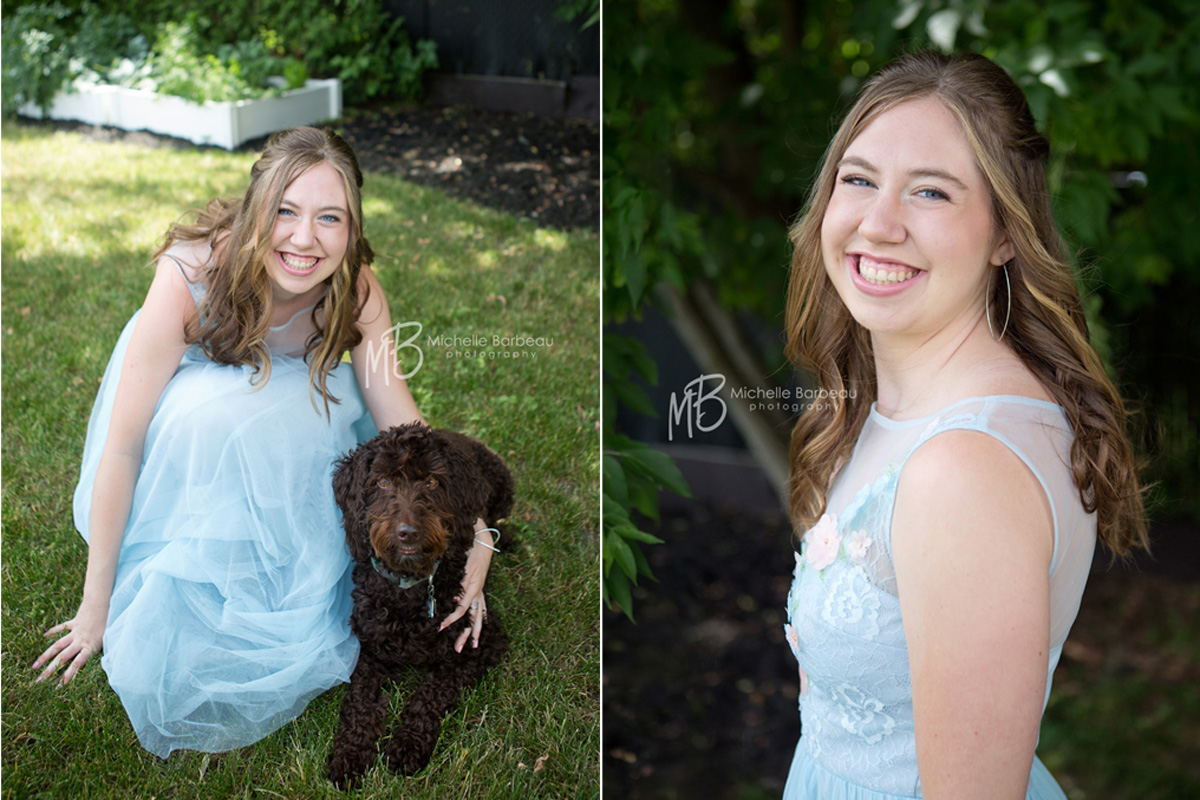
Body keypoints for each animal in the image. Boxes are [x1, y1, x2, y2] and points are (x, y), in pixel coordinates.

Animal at [328, 422, 511, 791]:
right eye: (383, 482)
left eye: (432, 482)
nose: (407, 533)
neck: (408, 586)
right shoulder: (368, 648)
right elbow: (359, 702)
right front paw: (350, 754)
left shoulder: (482, 639)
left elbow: (432, 693)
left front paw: (408, 744)